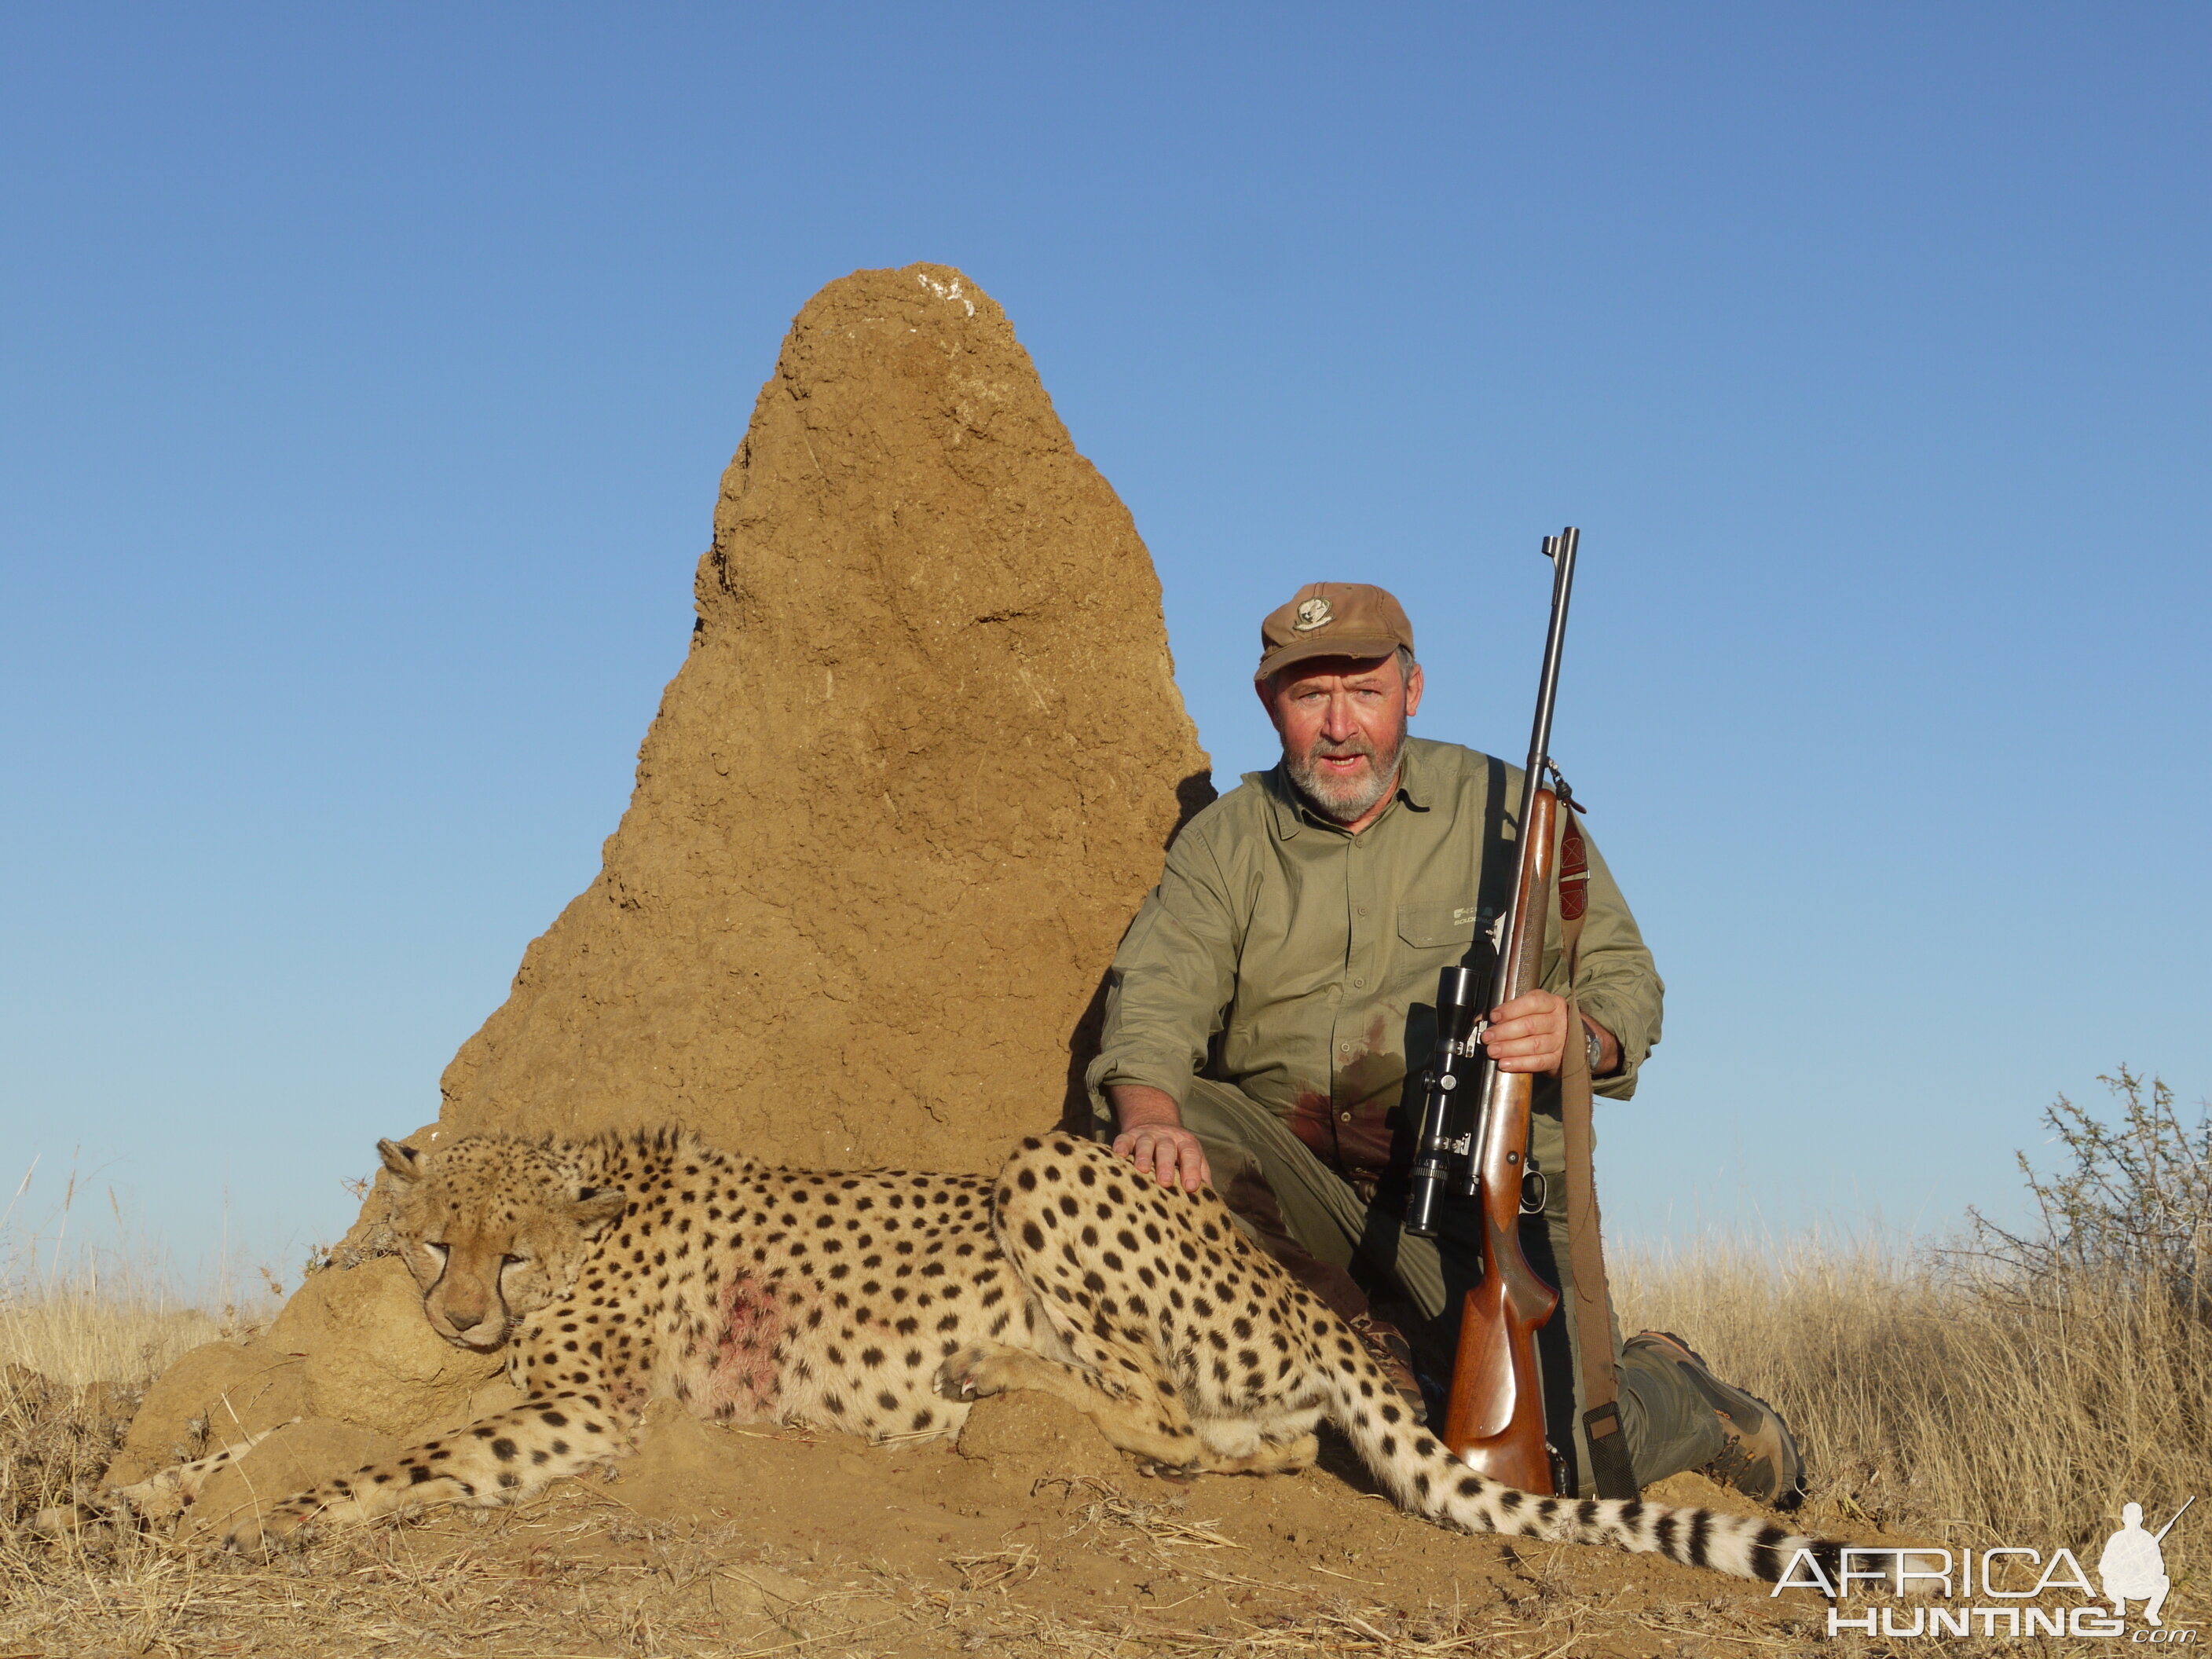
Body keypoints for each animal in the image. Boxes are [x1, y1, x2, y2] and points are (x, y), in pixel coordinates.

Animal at [168, 1132, 1831, 1584]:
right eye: (429, 1244)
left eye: (501, 1253)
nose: (461, 1310)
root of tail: (1308, 1297)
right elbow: (294, 1431)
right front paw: (183, 1484)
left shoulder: (585, 1409)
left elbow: (427, 1452)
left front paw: (296, 1508)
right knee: (1257, 1437)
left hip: (1052, 1168)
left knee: (1166, 1410)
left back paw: (996, 1383)